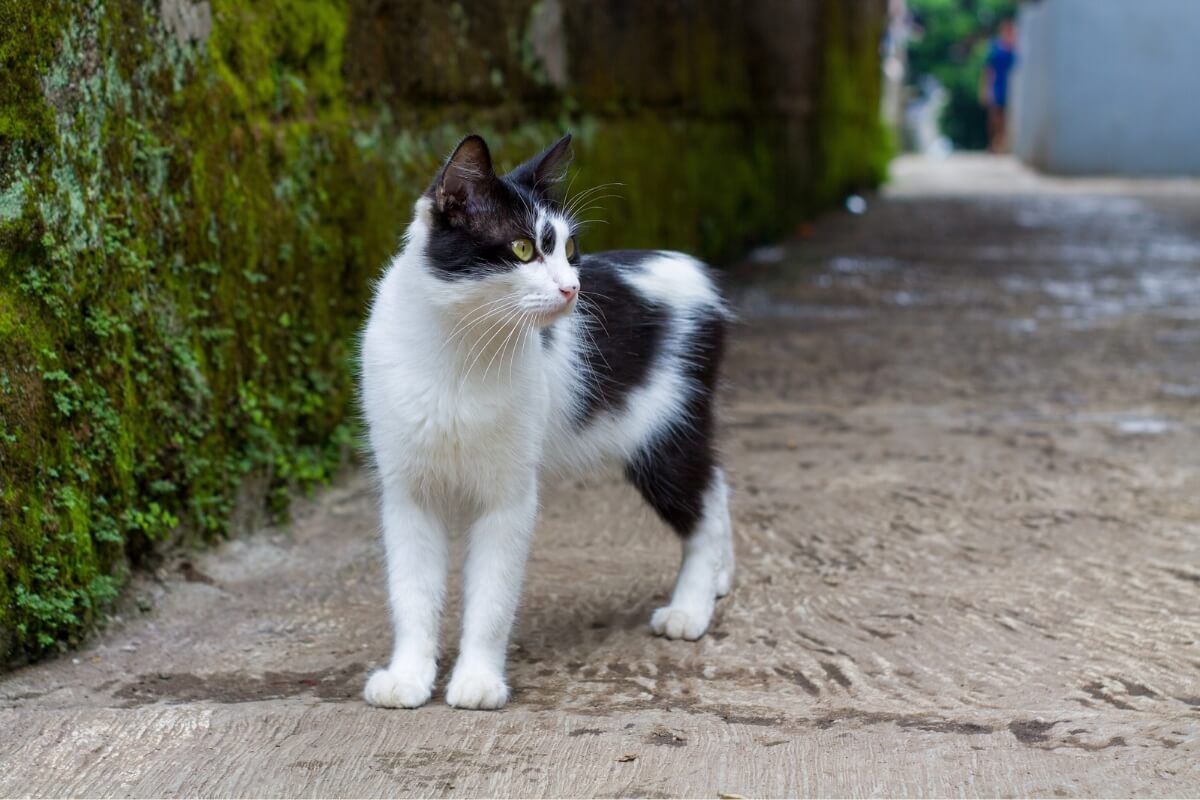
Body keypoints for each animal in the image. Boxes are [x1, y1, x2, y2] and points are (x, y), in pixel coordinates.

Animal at [357, 134, 729, 710]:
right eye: (522, 250)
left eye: (569, 251)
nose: (572, 287)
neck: (460, 350)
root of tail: (694, 268)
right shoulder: (407, 491)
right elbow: (412, 590)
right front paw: (408, 676)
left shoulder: (509, 495)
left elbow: (492, 595)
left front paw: (477, 680)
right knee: (717, 484)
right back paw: (717, 580)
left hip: (665, 431)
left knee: (705, 505)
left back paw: (691, 606)